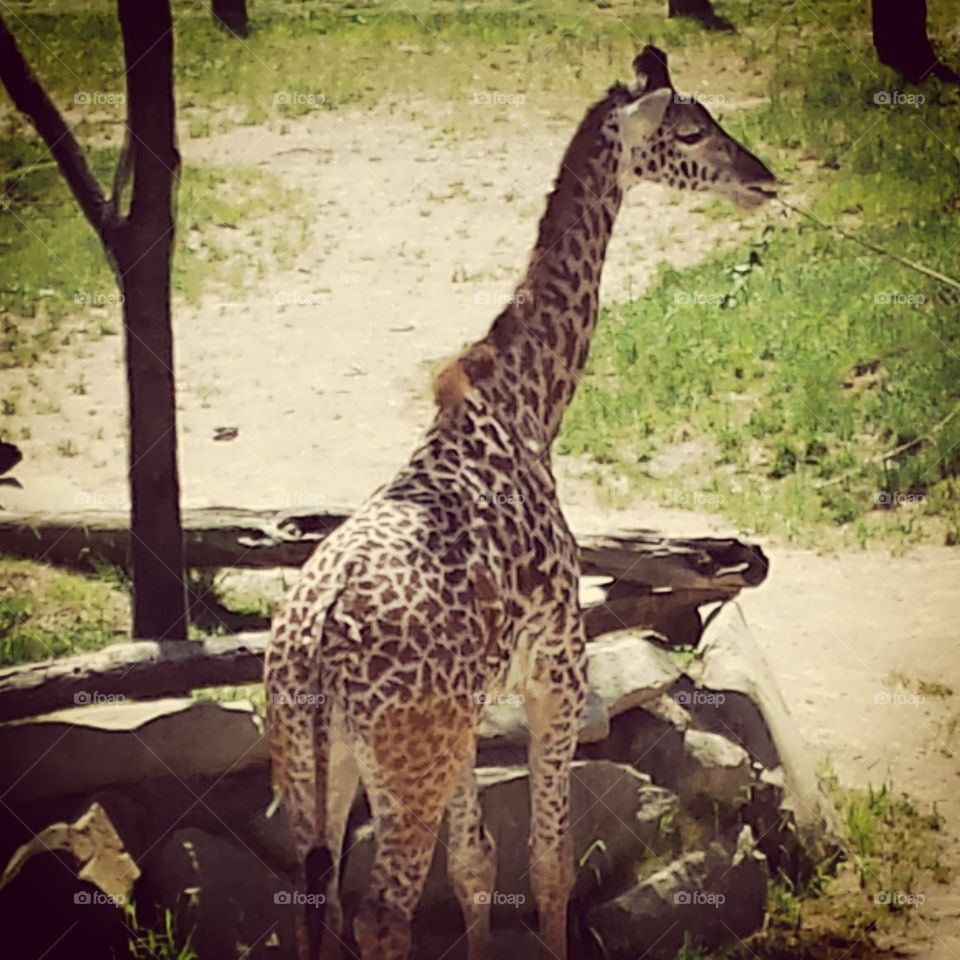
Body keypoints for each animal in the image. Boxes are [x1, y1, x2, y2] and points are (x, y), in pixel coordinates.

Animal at [265, 44, 776, 960]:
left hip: (311, 766)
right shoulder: (559, 672)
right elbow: (549, 861)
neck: (528, 404)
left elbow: (477, 861)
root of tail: (314, 653)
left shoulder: (472, 712)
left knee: (312, 905)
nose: (764, 178)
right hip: (406, 761)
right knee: (381, 913)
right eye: (690, 131)